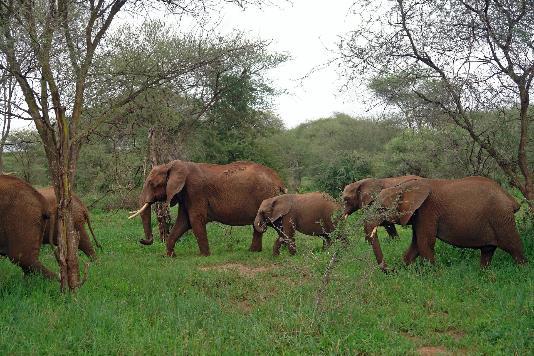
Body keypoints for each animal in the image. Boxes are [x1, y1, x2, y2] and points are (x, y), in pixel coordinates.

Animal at [129, 161, 286, 256]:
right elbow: (183, 222)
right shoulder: (185, 195)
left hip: (266, 197)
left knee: (275, 223)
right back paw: (254, 252)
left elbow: (195, 220)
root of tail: (278, 179)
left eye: (151, 183)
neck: (172, 165)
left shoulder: (195, 190)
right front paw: (170, 256)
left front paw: (203, 256)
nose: (142, 240)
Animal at [368, 177, 528, 268]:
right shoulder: (418, 215)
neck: (403, 187)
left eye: (382, 209)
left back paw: (522, 271)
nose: (389, 270)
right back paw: (483, 274)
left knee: (514, 247)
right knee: (488, 250)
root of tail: (510, 198)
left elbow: (425, 243)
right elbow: (416, 245)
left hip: (501, 218)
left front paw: (434, 275)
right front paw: (403, 270)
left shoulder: (427, 211)